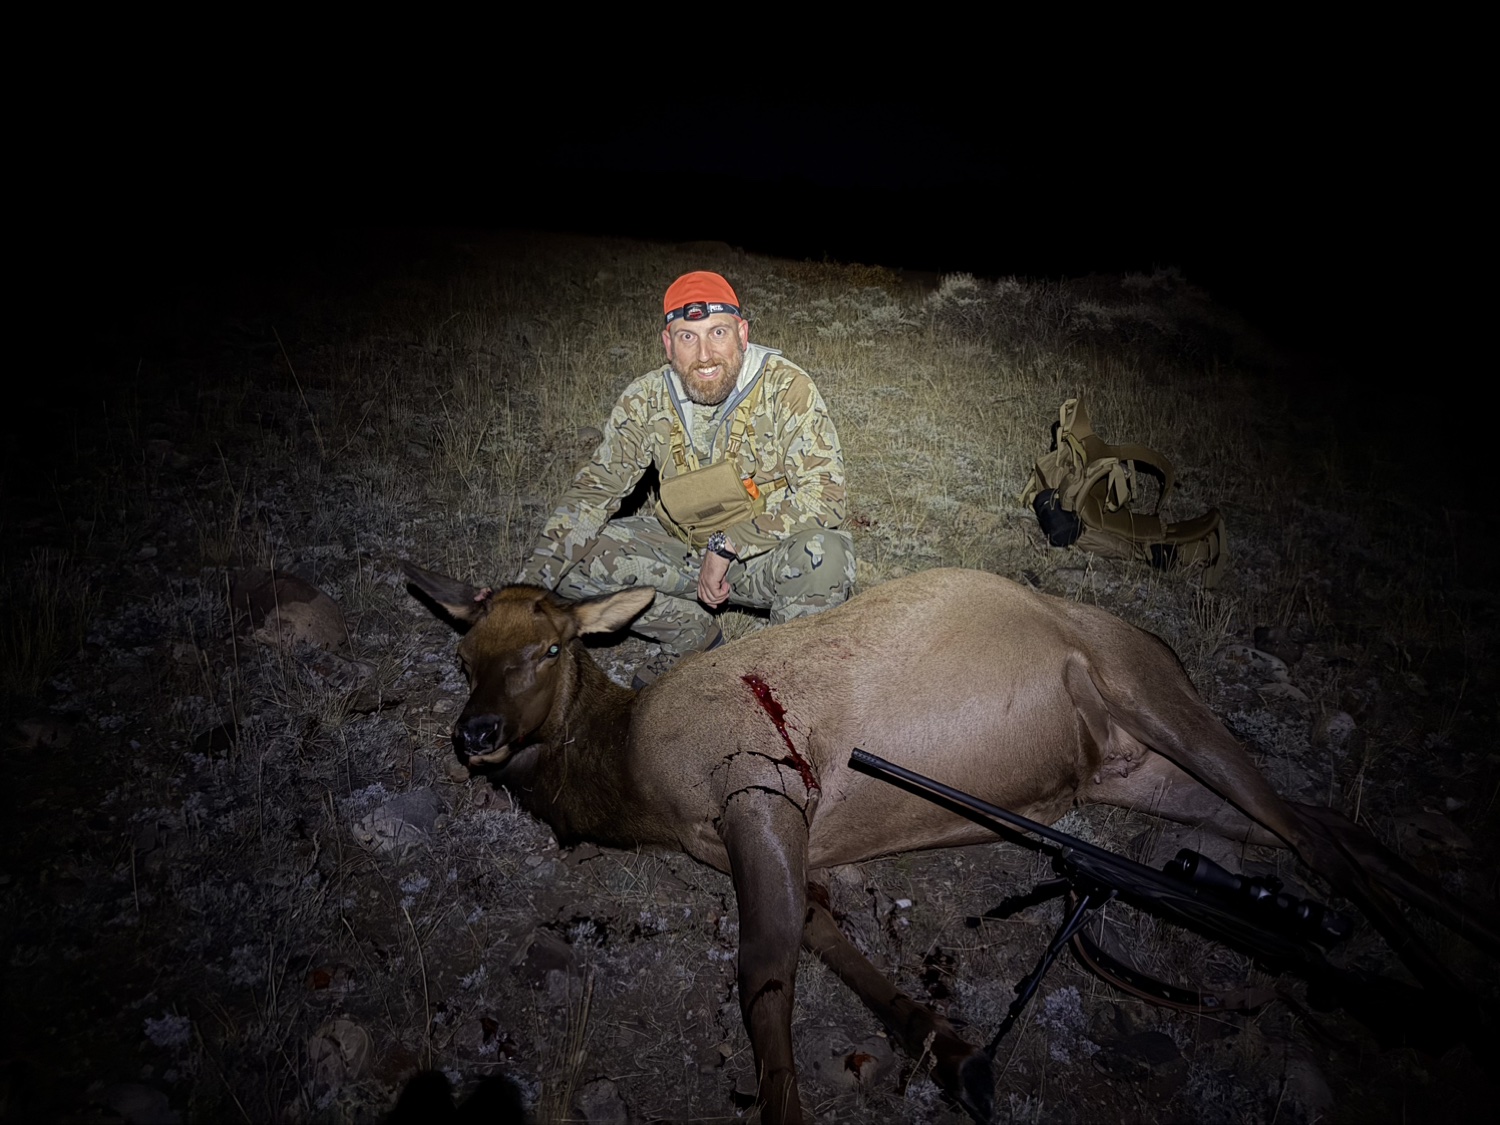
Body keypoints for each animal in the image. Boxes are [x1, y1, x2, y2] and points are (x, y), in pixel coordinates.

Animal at [402, 563, 1497, 1125]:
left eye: (550, 646)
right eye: (464, 650)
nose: (475, 735)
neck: (629, 782)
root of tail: (1161, 646)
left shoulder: (760, 794)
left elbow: (763, 976)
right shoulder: (772, 844)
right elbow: (829, 949)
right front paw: (945, 1046)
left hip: (1155, 699)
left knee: (1316, 834)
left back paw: (1441, 989)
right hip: (1132, 766)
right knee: (1331, 824)